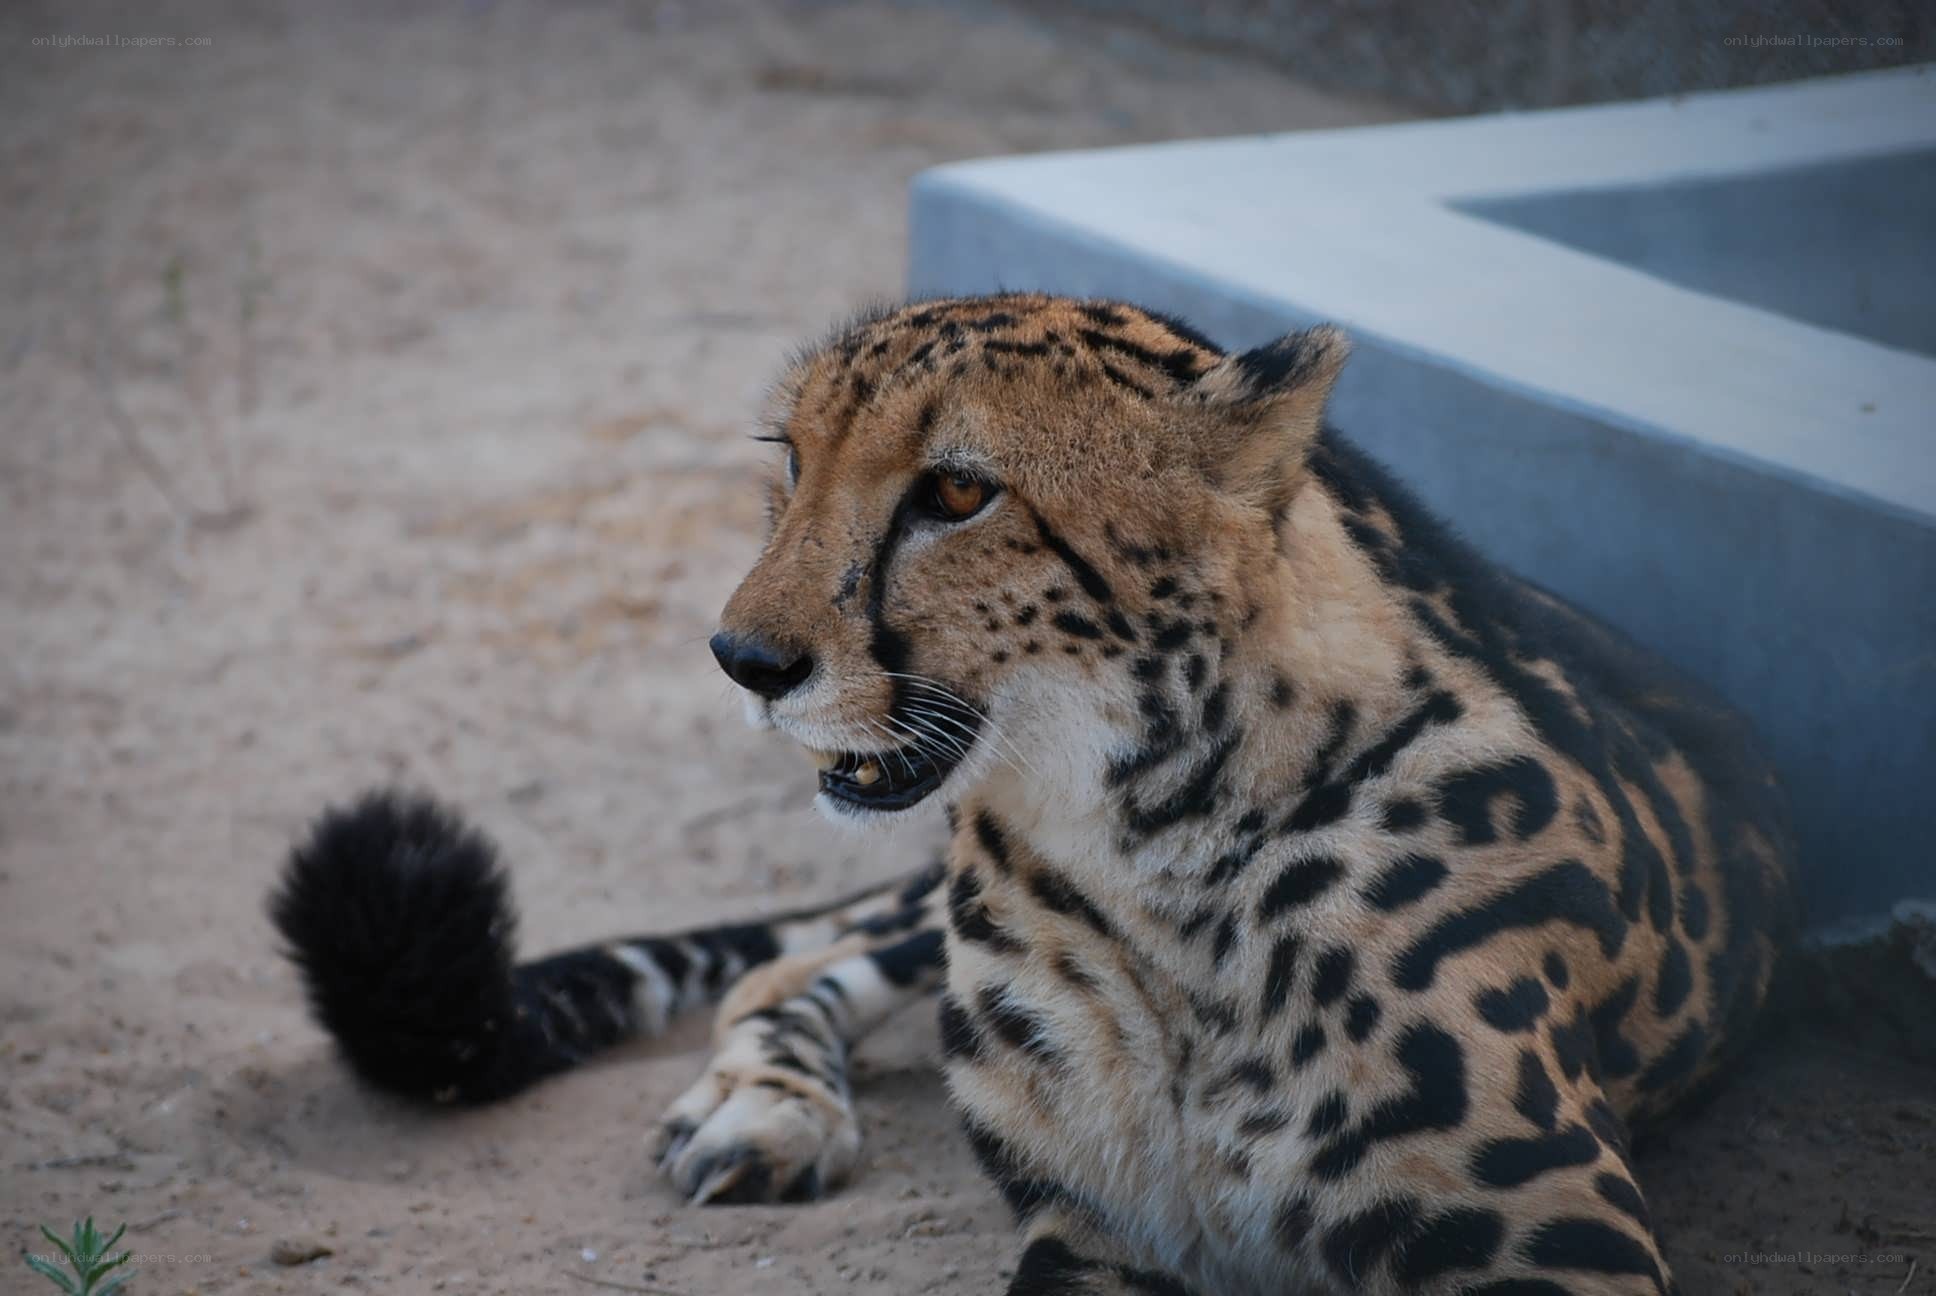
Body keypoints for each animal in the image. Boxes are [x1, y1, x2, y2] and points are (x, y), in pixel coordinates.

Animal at [272, 293, 1799, 1295]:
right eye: (790, 461)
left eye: (956, 494)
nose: (742, 660)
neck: (1162, 848)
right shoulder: (1090, 1236)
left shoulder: (1555, 1251)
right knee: (794, 961)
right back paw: (766, 1108)